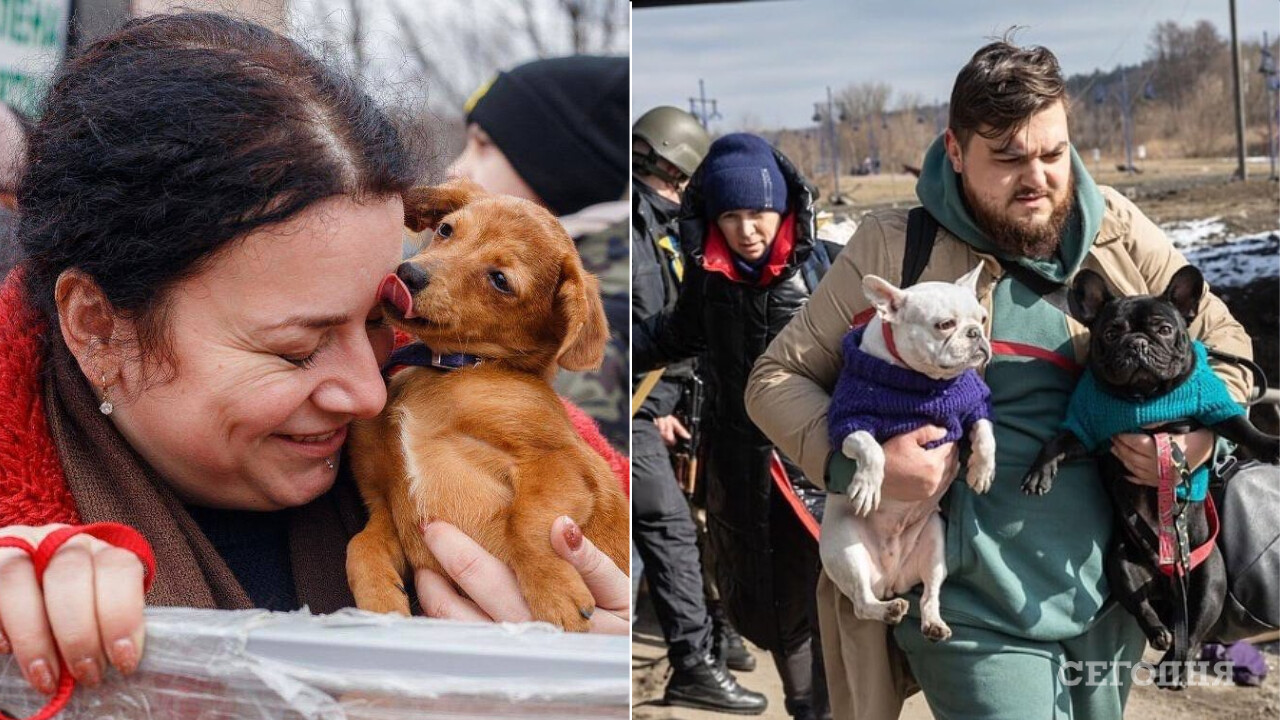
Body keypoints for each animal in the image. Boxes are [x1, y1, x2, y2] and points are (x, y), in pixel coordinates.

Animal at [348, 178, 632, 627]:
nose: (408, 274)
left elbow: (526, 520)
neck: (447, 370)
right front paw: (379, 602)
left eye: (500, 280)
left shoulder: (559, 461)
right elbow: (361, 544)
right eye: (446, 229)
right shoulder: (382, 503)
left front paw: (554, 590)